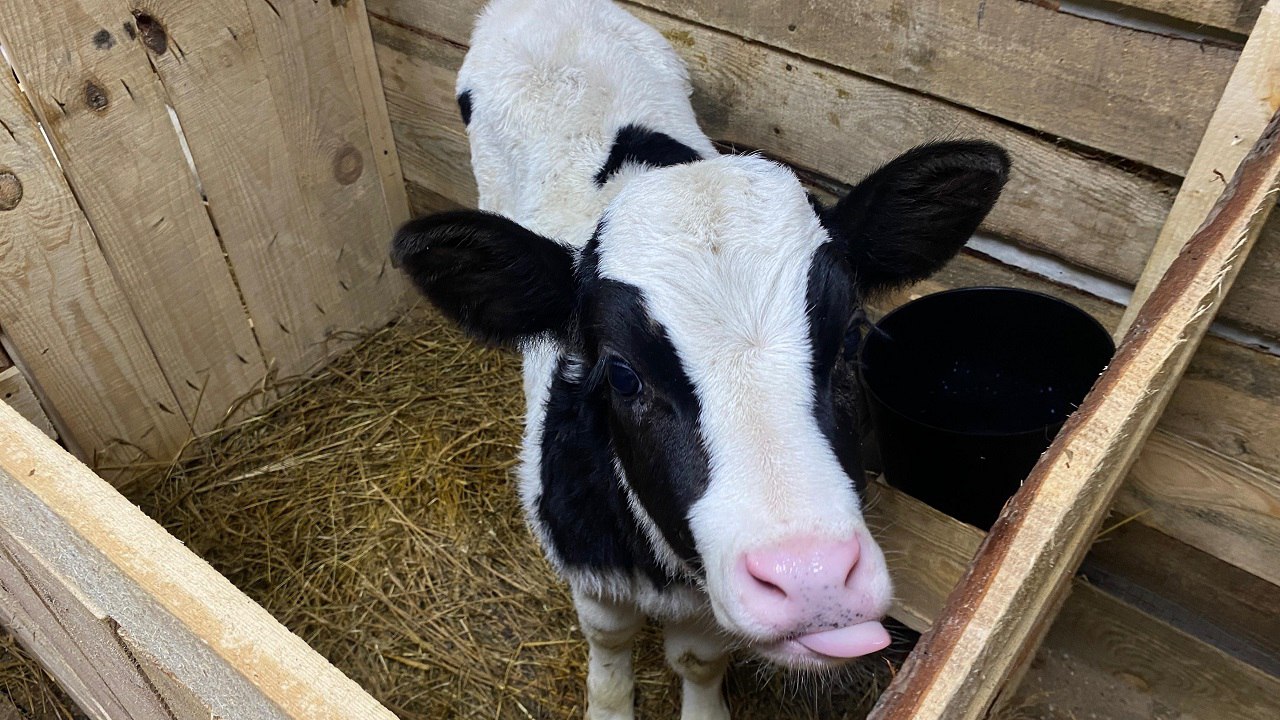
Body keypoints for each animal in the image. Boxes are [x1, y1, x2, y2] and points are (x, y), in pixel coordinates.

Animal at [389, 2, 1008, 712]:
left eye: (851, 337)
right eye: (621, 375)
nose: (811, 579)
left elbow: (697, 660)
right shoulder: (588, 571)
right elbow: (608, 644)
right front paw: (607, 709)